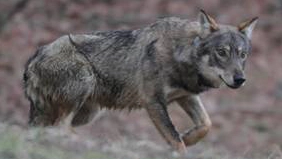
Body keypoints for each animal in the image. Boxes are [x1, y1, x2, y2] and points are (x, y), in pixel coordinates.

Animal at [23, 10, 258, 153]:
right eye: (222, 52)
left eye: (242, 55)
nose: (240, 79)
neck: (181, 53)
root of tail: (34, 57)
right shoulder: (153, 102)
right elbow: (175, 140)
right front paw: (180, 145)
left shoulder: (185, 96)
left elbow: (205, 125)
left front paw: (188, 137)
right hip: (84, 87)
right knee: (60, 128)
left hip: (88, 113)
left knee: (50, 129)